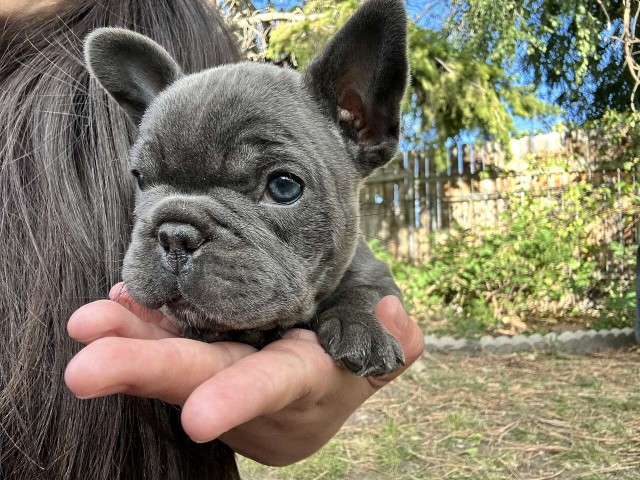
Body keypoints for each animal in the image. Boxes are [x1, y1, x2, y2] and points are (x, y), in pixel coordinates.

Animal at [84, 0, 410, 376]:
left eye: (284, 187)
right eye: (140, 179)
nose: (175, 234)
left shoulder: (377, 274)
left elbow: (364, 290)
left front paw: (358, 325)